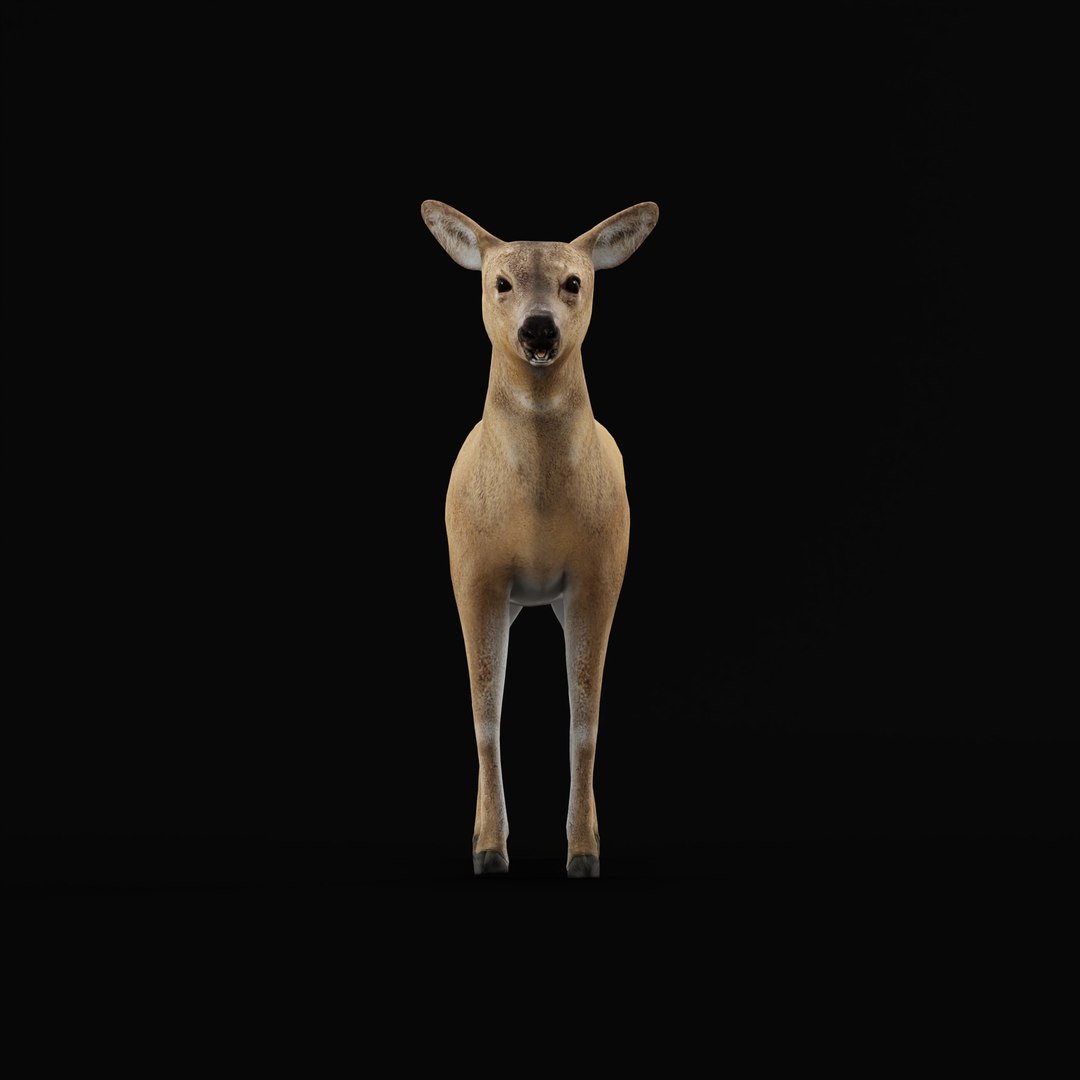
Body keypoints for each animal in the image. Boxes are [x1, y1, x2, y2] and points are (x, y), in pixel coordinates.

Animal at [421, 200, 658, 878]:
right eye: (500, 282)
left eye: (573, 281)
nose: (539, 330)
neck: (537, 519)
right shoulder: (473, 571)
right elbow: (485, 715)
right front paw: (488, 848)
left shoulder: (600, 572)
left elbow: (585, 721)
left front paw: (583, 851)